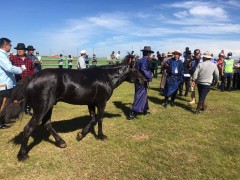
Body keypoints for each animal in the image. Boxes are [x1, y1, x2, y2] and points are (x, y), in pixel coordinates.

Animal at [0, 54, 146, 161]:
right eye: (136, 70)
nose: (145, 81)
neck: (106, 77)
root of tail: (31, 78)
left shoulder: (91, 103)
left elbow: (93, 119)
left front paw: (81, 134)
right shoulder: (101, 103)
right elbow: (99, 119)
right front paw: (101, 136)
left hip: (49, 107)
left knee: (47, 124)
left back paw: (61, 142)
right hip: (42, 108)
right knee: (29, 128)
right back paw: (22, 155)